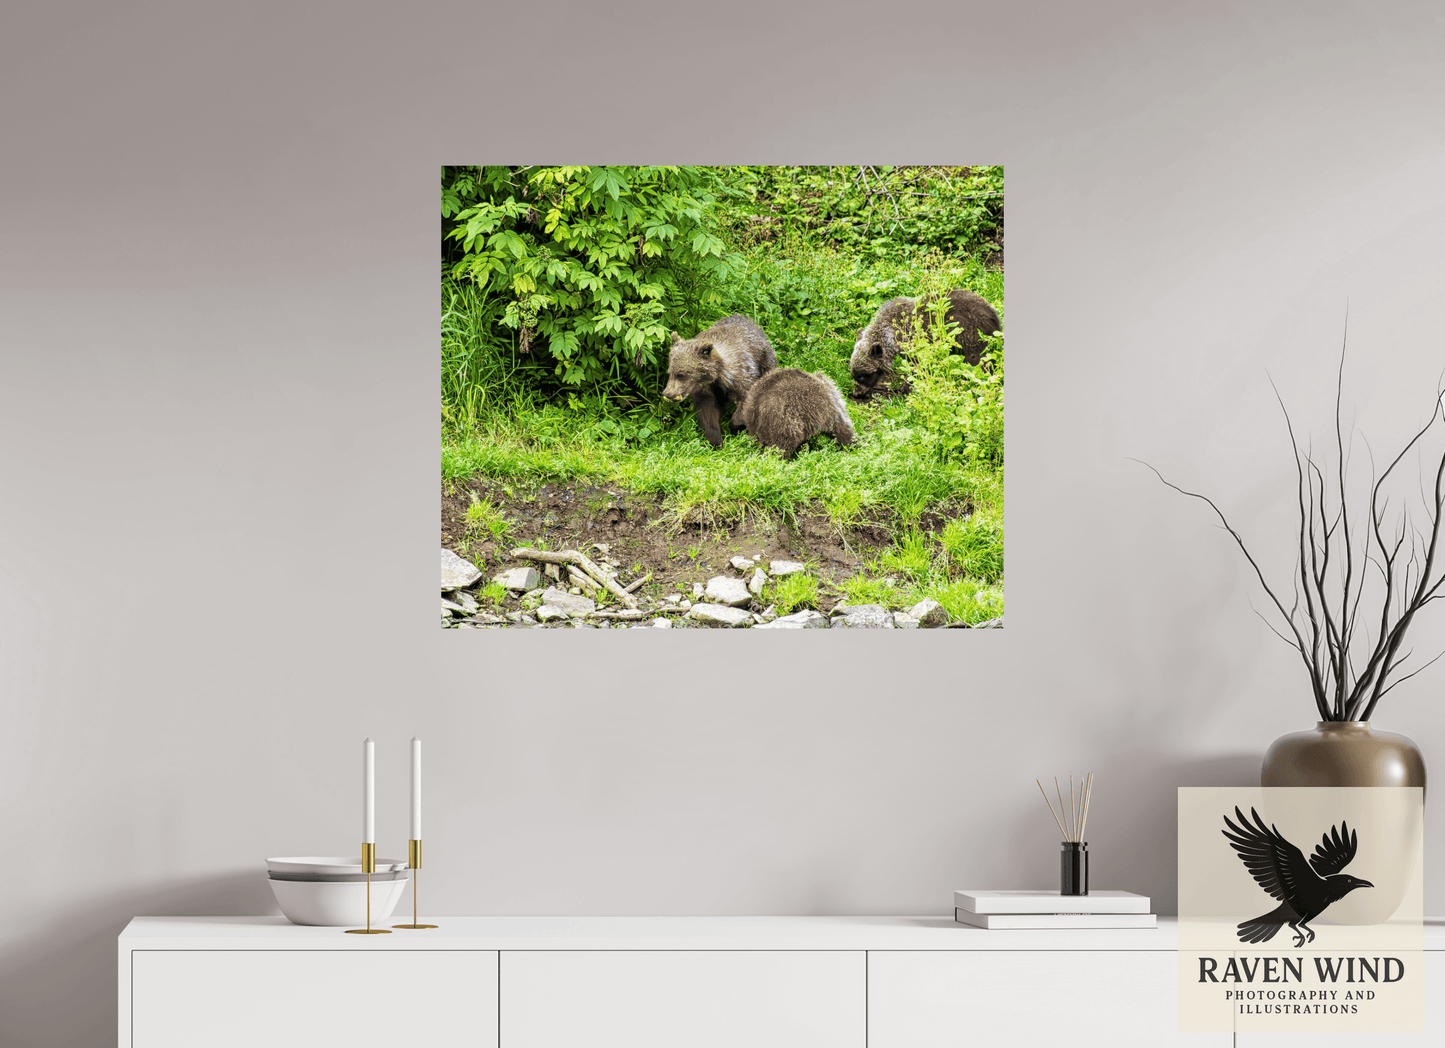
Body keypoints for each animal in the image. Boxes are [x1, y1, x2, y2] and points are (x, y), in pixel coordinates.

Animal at [662, 314, 777, 447]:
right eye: (670, 372)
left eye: (681, 374)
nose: (667, 393)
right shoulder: (706, 392)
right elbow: (708, 413)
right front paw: (715, 441)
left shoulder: (743, 377)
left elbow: (746, 401)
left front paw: (736, 427)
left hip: (766, 360)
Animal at [848, 288, 1001, 398]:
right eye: (853, 374)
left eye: (864, 376)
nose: (856, 394)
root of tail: (993, 315)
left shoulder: (913, 344)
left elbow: (915, 367)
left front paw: (904, 389)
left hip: (969, 336)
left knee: (979, 361)